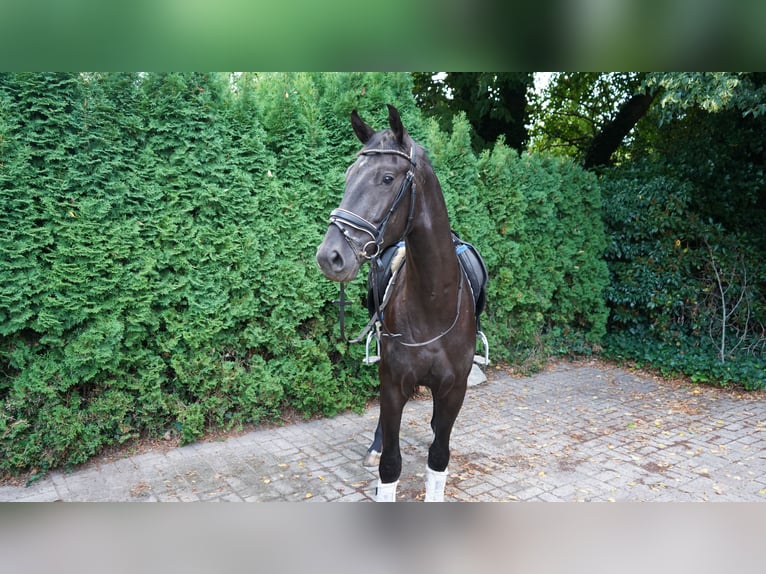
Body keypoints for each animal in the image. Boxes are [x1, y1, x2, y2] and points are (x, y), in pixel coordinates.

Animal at [316, 104, 477, 502]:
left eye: (387, 178)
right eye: (348, 175)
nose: (330, 256)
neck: (433, 303)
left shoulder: (455, 389)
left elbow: (438, 459)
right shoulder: (392, 384)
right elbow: (391, 465)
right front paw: (381, 455)